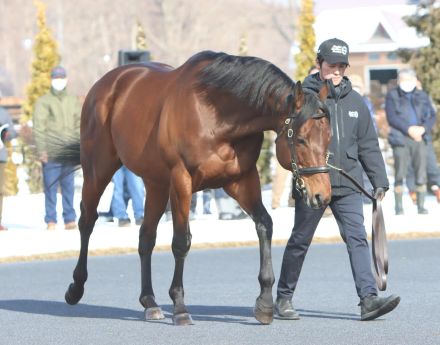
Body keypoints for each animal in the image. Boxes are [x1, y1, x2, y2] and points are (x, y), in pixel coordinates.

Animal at [58, 49, 330, 324]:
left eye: (328, 137)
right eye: (301, 139)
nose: (323, 195)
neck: (217, 113)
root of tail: (105, 84)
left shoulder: (242, 180)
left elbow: (265, 225)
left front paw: (264, 303)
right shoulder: (181, 180)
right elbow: (181, 241)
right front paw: (179, 306)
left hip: (155, 183)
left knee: (146, 237)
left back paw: (150, 302)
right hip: (98, 169)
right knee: (87, 220)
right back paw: (76, 287)